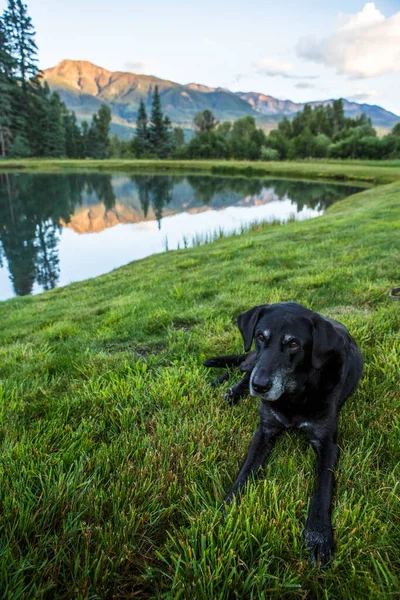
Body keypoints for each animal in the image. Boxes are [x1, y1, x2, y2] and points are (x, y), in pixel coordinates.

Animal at [205, 302, 364, 564]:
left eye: (294, 344)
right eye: (260, 336)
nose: (260, 387)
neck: (294, 394)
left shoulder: (327, 444)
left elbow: (322, 486)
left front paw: (318, 534)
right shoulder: (264, 431)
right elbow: (244, 473)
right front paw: (227, 507)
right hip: (252, 360)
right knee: (243, 367)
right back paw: (229, 388)